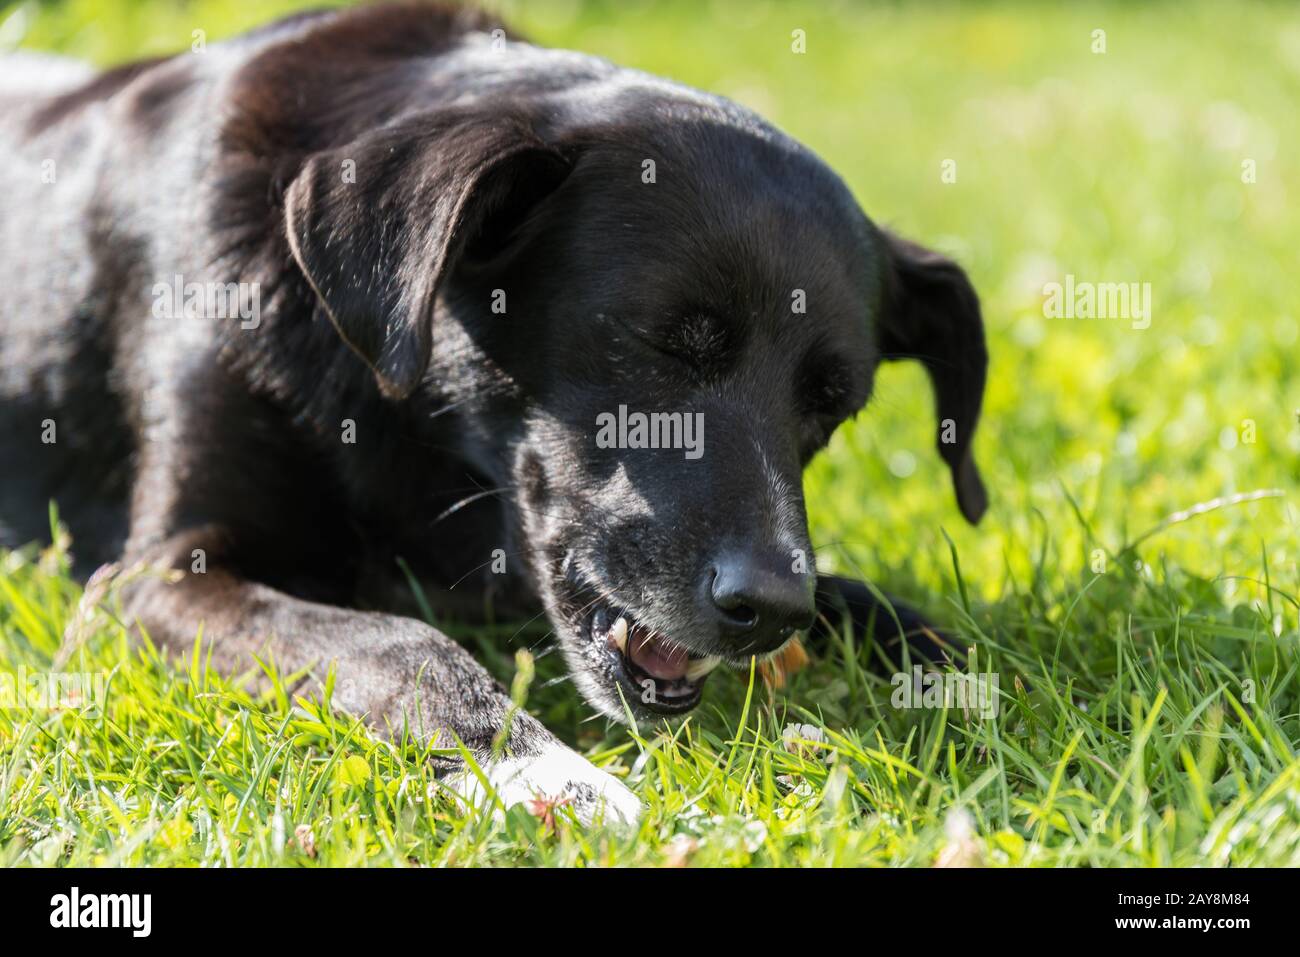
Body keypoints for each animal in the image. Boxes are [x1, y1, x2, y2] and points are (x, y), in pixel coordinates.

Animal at [0, 3, 982, 816]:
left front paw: (962, 661)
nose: (774, 609)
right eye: (664, 343)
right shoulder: (162, 580)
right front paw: (541, 770)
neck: (404, 417)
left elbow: (876, 602)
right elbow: (401, 644)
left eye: (833, 405)